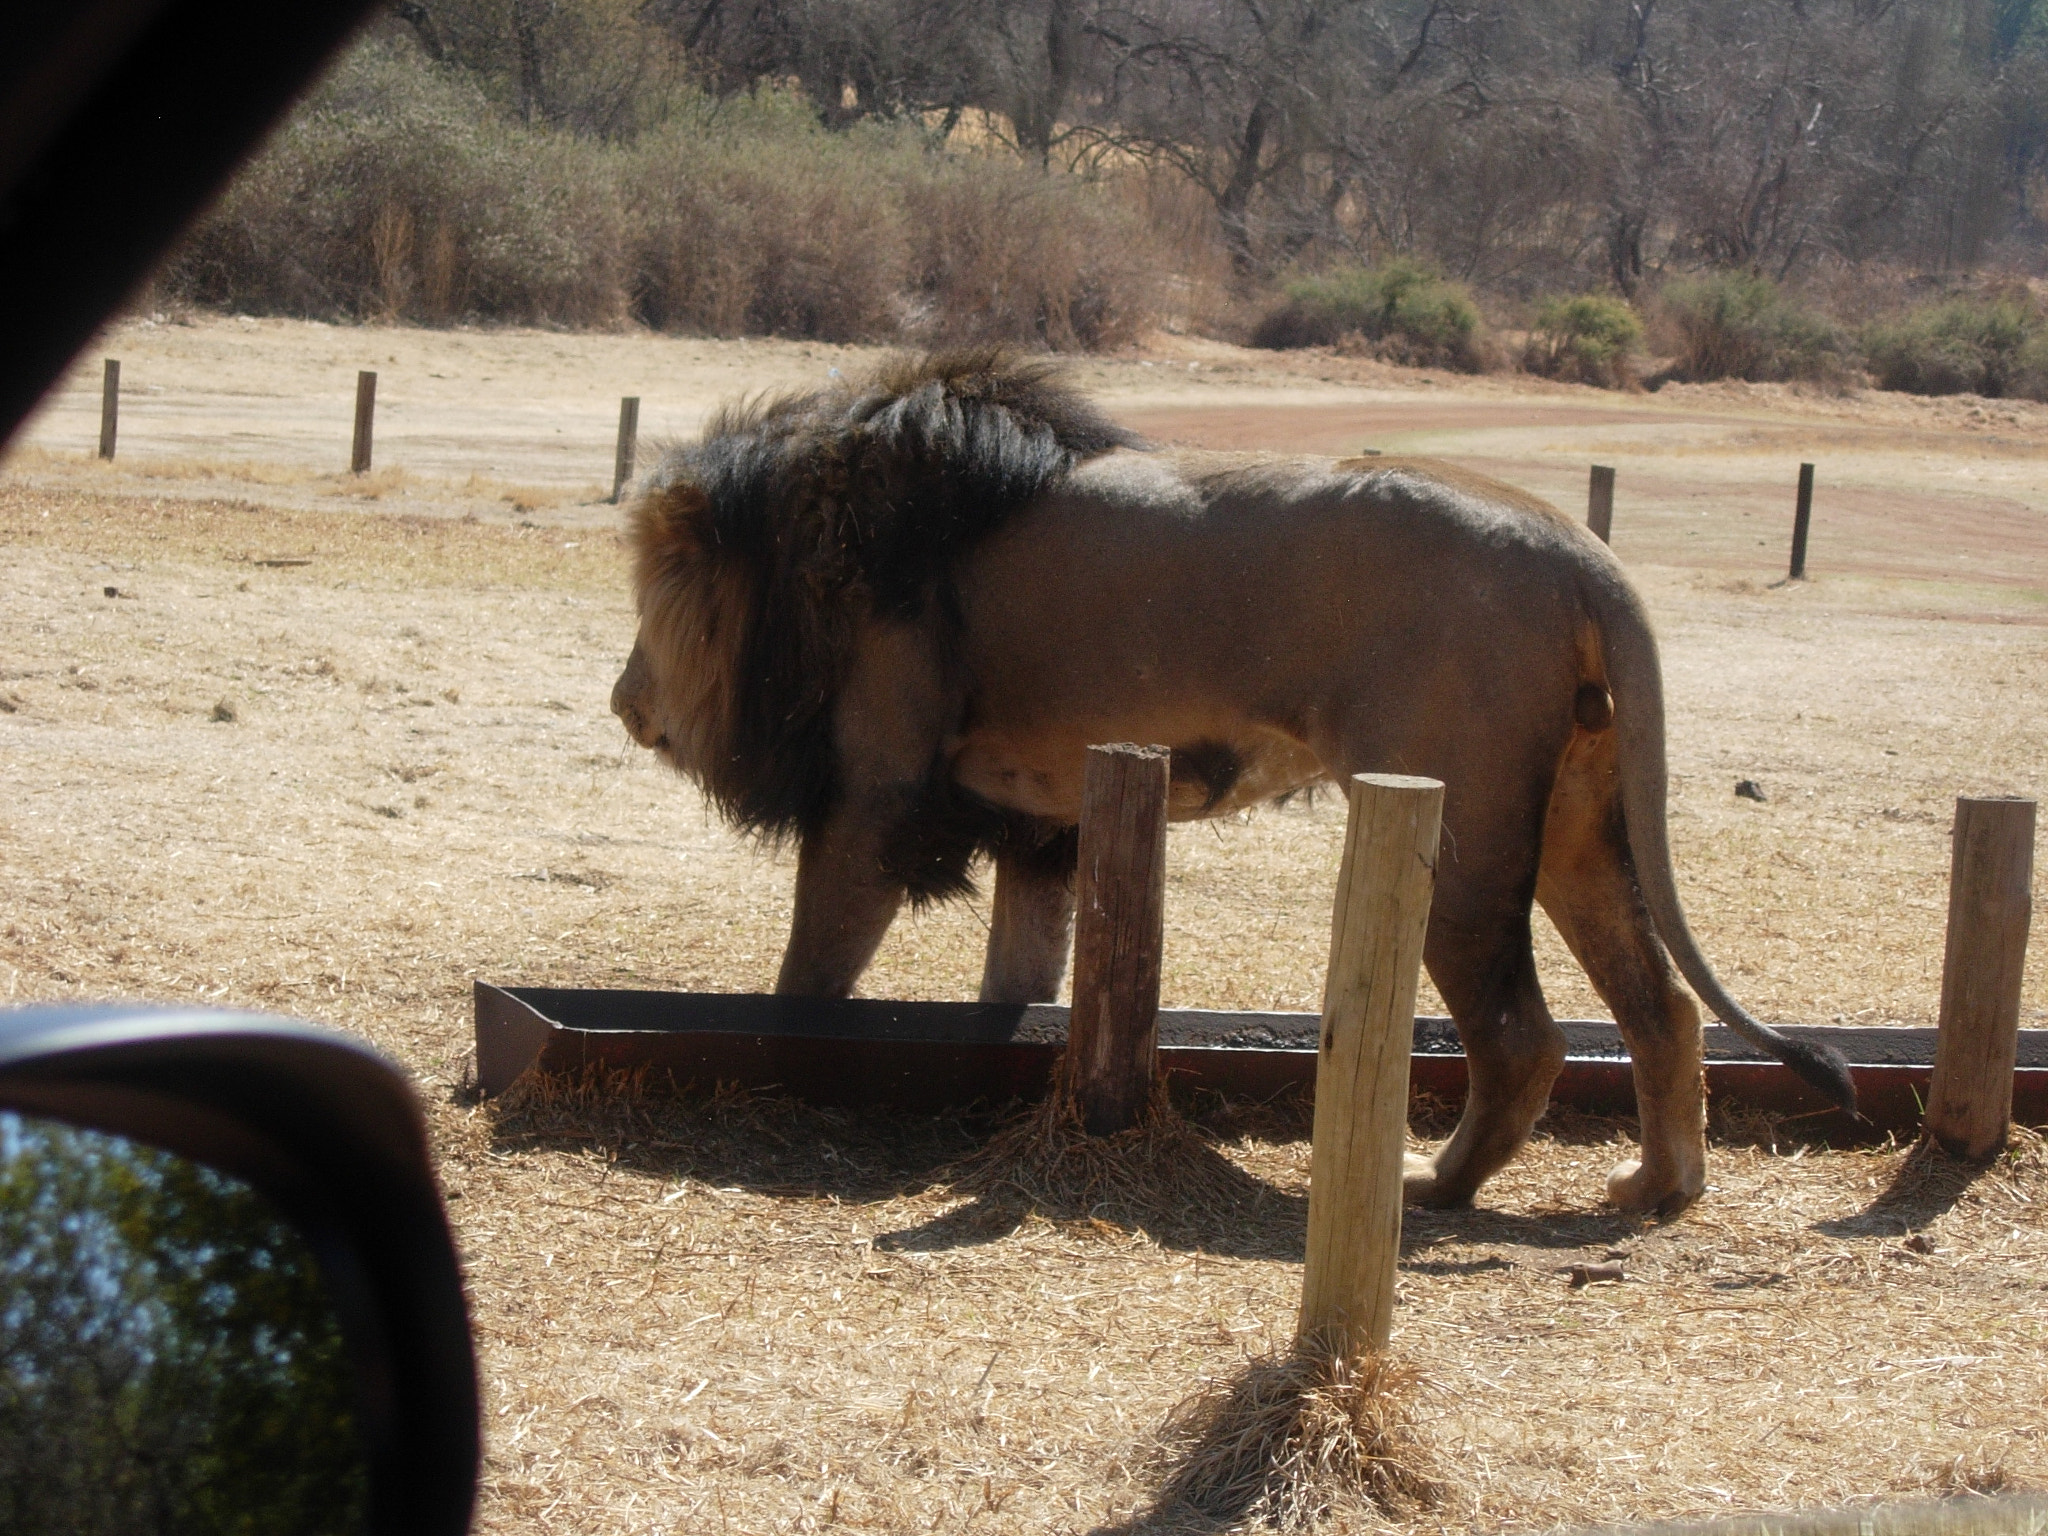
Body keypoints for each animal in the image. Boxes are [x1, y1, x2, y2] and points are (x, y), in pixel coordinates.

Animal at [609, 349, 1853, 1217]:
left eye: (650, 609)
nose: (623, 704)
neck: (811, 550)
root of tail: (1573, 544)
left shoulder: (872, 802)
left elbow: (807, 979)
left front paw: (783, 1063)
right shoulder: (1039, 828)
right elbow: (1016, 986)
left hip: (1461, 826)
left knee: (1521, 1038)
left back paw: (1433, 1188)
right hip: (1574, 822)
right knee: (1660, 1005)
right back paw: (1657, 1189)